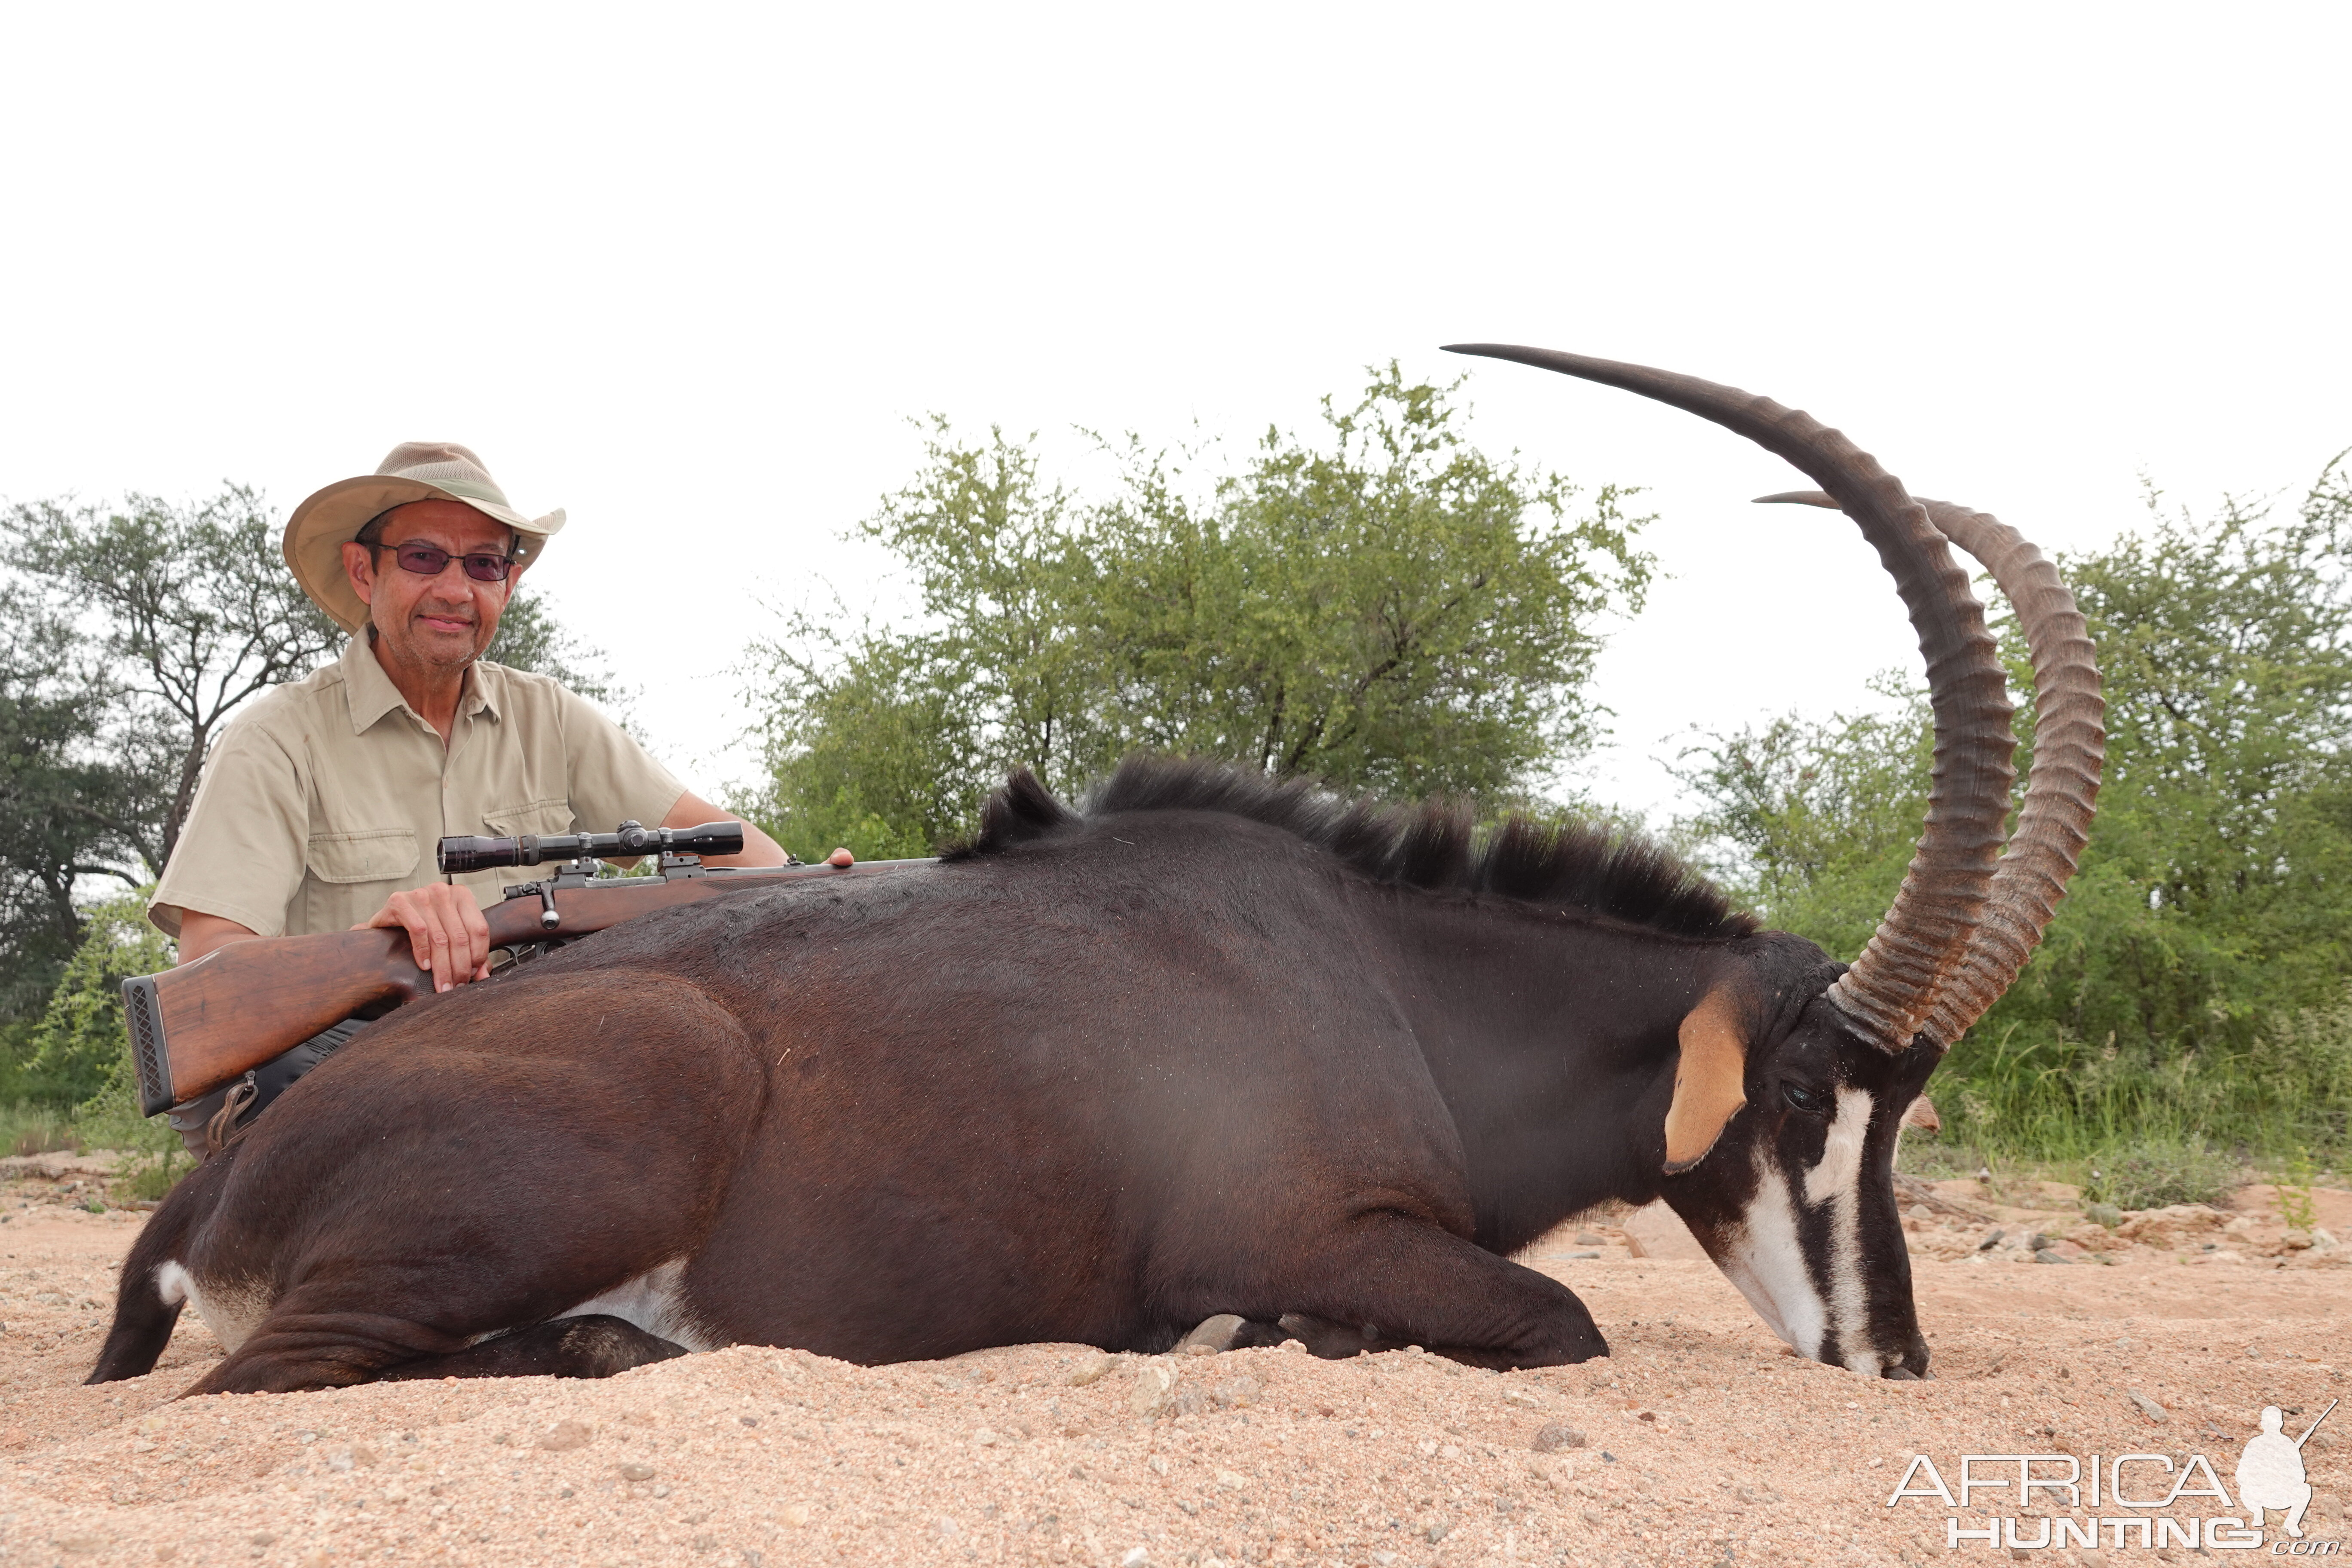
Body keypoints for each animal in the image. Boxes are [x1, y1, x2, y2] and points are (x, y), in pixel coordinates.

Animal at [87, 350, 2098, 1391]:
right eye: (1802, 1093)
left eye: (1904, 1110)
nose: (1892, 1359)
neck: (1385, 973)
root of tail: (213, 1182)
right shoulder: (1304, 1226)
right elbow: (1561, 1312)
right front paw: (1259, 1331)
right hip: (620, 1113)